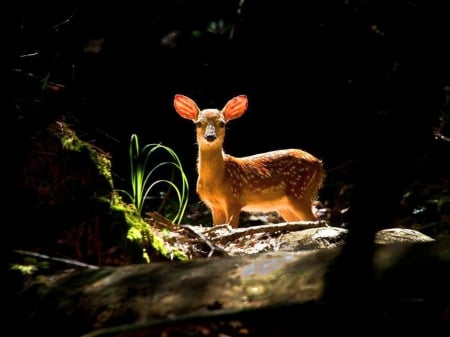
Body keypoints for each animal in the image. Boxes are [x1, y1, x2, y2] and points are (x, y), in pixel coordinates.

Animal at [174, 93, 326, 227]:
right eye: (198, 124)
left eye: (222, 123)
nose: (210, 136)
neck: (216, 179)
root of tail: (319, 164)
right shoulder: (214, 206)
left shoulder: (234, 200)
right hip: (284, 205)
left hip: (300, 192)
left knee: (316, 220)